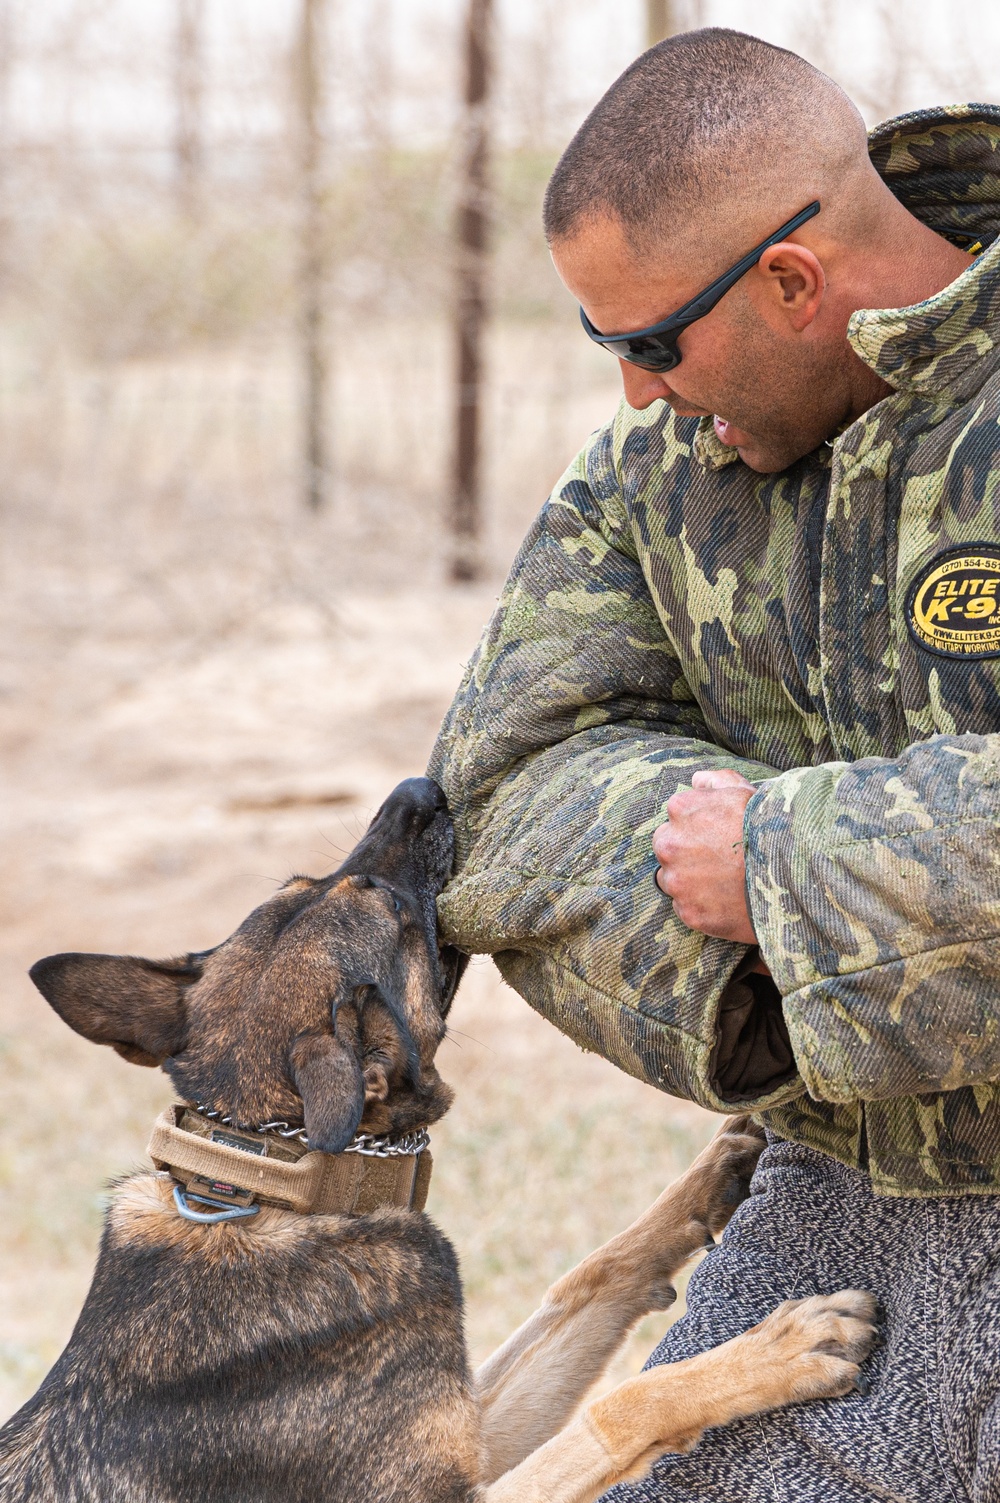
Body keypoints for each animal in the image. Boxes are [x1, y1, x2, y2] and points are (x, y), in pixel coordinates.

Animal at [0, 781, 872, 1496]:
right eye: (390, 910)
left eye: (301, 882)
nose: (419, 787)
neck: (272, 1183)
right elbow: (622, 1406)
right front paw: (779, 1350)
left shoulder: (476, 1426)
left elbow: (588, 1277)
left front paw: (711, 1174)